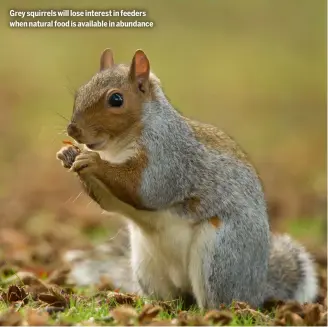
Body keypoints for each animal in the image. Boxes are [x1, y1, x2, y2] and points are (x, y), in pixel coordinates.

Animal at [55, 48, 318, 310]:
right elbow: (110, 202)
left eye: (116, 100)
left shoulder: (168, 158)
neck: (117, 148)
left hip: (220, 257)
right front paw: (68, 154)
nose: (73, 130)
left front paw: (92, 160)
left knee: (218, 300)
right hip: (146, 263)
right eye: (80, 91)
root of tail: (257, 286)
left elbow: (144, 189)